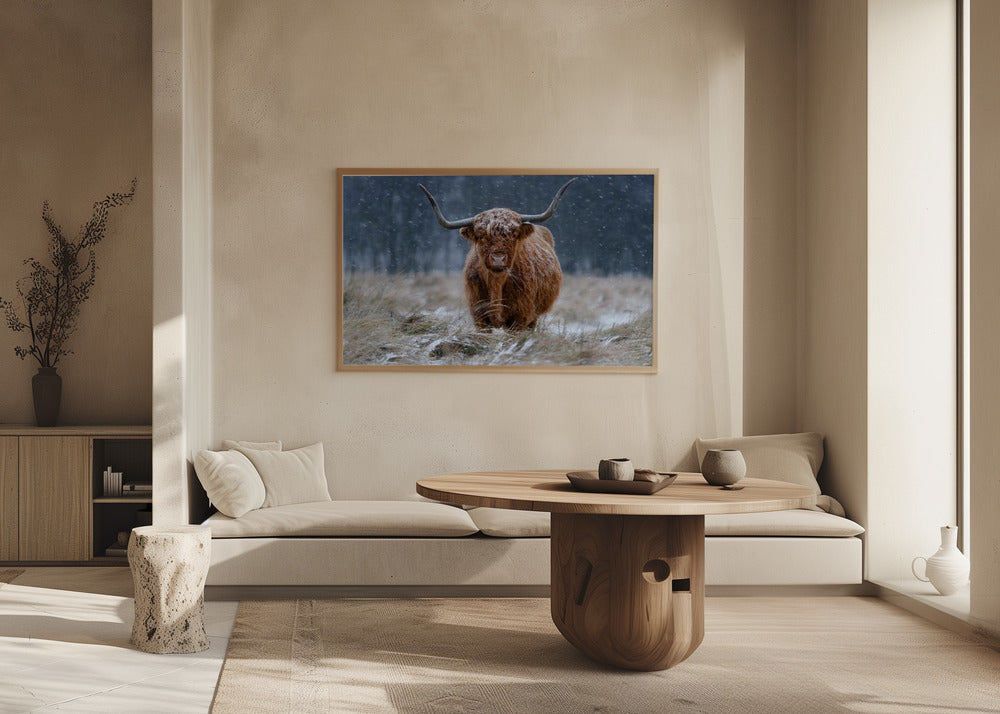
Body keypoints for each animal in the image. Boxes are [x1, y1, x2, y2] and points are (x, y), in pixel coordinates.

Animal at [418, 178, 577, 331]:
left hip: (534, 316)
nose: (498, 259)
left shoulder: (521, 315)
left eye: (514, 234)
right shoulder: (479, 314)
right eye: (481, 236)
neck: (496, 284)